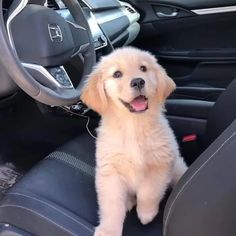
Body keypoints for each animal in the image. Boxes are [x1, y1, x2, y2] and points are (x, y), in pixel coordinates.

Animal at [81, 47, 188, 235]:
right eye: (117, 74)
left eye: (143, 68)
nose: (138, 81)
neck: (132, 125)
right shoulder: (110, 172)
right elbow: (112, 205)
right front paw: (108, 230)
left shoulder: (159, 165)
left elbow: (148, 193)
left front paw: (146, 214)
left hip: (176, 168)